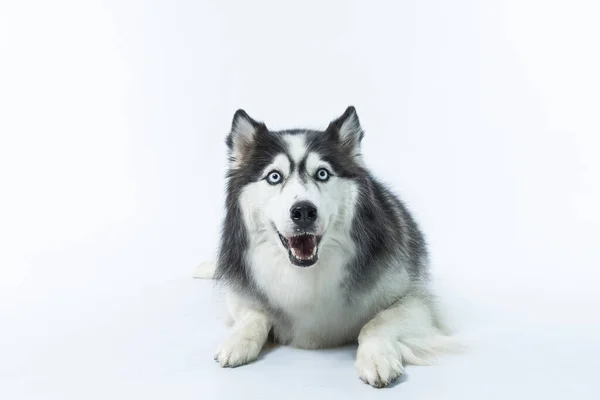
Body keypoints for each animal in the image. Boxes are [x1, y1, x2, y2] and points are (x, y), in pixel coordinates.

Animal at [202, 106, 460, 388]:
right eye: (274, 176)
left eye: (322, 173)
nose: (303, 211)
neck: (306, 274)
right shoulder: (240, 292)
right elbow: (254, 315)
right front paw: (238, 341)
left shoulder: (417, 300)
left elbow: (377, 322)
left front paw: (376, 357)